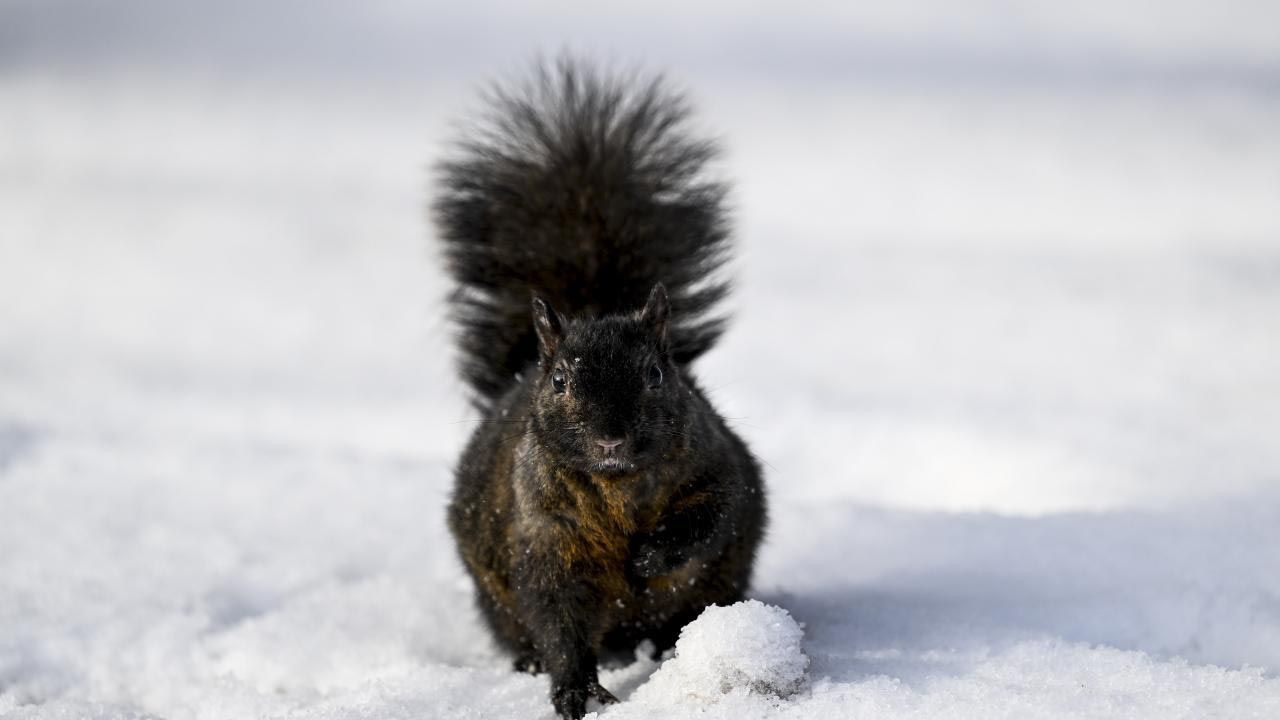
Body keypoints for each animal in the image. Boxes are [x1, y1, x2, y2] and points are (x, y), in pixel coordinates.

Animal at [435, 57, 762, 717]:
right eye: (560, 380)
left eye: (656, 375)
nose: (610, 438)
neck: (618, 488)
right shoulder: (542, 530)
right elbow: (558, 614)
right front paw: (575, 688)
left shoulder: (714, 465)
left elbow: (711, 516)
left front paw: (649, 556)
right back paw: (530, 659)